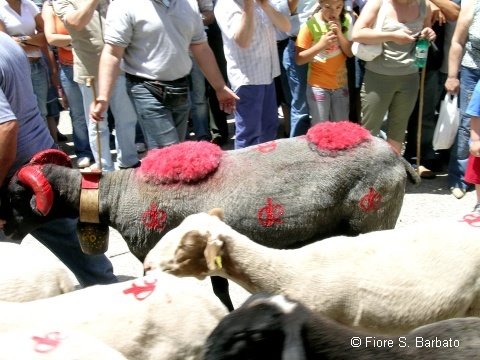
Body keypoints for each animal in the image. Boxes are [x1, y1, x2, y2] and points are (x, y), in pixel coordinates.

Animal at [0, 121, 416, 310]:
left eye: (16, 196)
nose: (4, 231)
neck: (113, 196)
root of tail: (398, 158)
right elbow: (220, 289)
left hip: (373, 219)